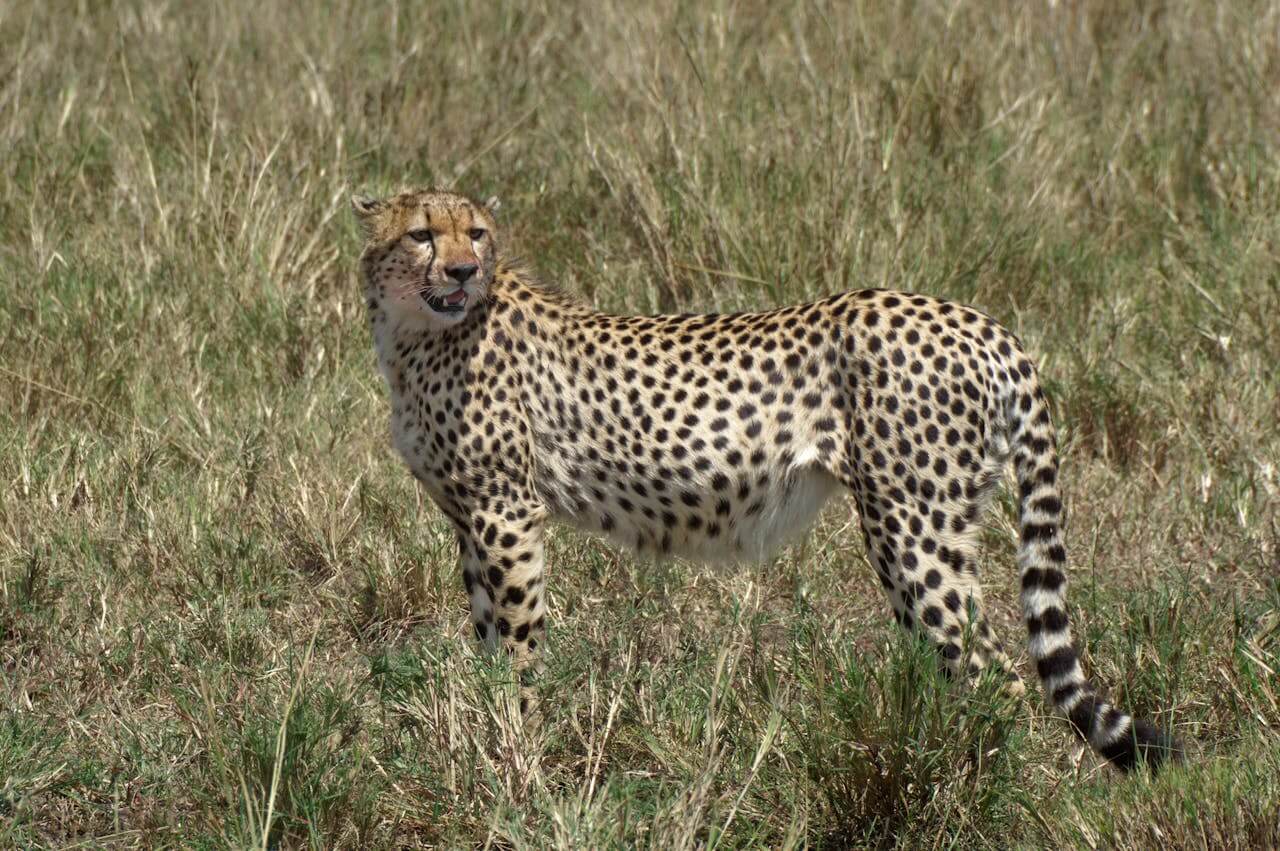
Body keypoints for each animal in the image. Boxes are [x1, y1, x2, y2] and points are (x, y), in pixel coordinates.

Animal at [352, 187, 1179, 771]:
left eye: (476, 234)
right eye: (422, 233)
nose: (463, 271)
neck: (419, 331)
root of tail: (977, 319)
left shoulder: (507, 512)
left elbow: (519, 651)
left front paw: (515, 755)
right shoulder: (471, 520)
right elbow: (489, 642)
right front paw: (490, 733)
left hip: (912, 529)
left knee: (995, 674)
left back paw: (970, 789)